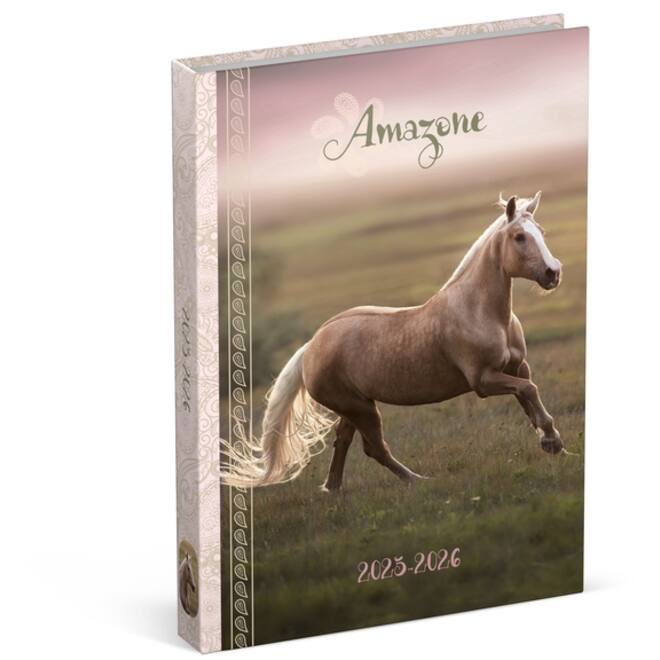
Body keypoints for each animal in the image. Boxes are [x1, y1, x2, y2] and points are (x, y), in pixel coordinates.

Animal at [219, 192, 565, 491]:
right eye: (519, 237)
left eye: (541, 231)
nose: (553, 273)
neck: (480, 312)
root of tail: (311, 346)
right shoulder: (483, 380)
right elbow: (528, 391)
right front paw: (552, 441)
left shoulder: (518, 367)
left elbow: (528, 397)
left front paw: (551, 441)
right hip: (360, 409)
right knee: (374, 448)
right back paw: (417, 481)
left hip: (354, 407)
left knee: (343, 440)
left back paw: (334, 489)